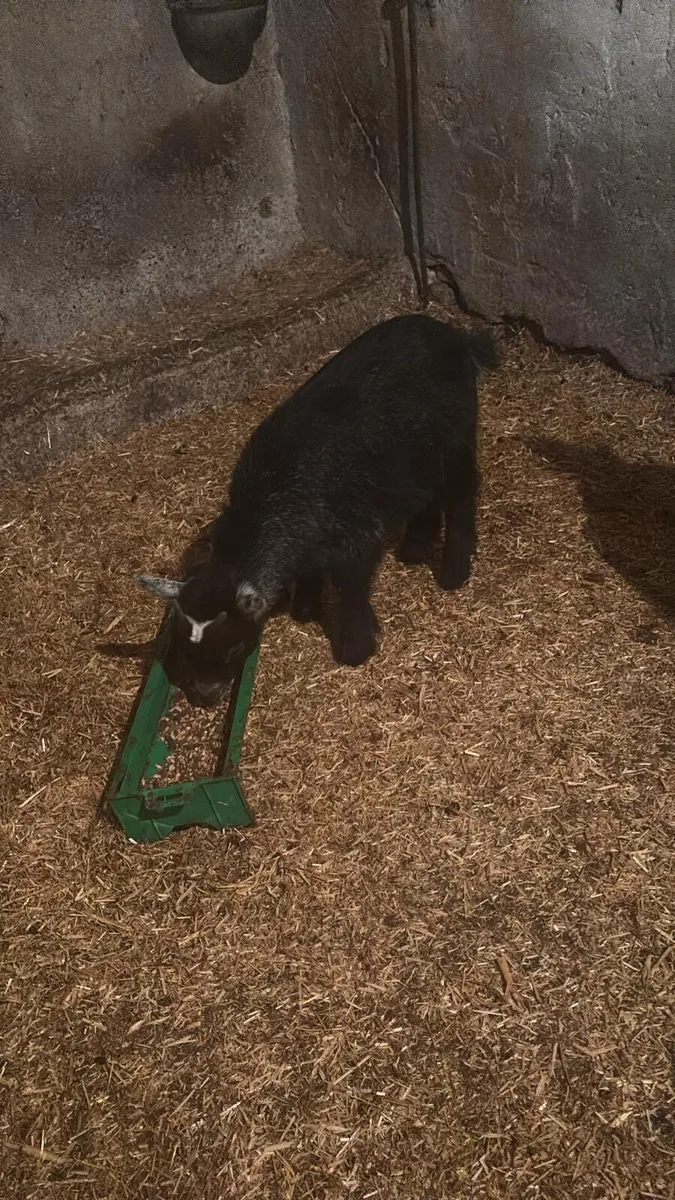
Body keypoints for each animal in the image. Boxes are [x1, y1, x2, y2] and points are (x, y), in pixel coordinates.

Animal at [136, 314, 498, 703]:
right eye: (187, 651)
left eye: (233, 647)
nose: (206, 693)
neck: (273, 495)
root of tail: (455, 335)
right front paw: (306, 608)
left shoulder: (356, 533)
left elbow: (351, 587)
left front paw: (356, 649)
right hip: (414, 454)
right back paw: (415, 547)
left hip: (456, 433)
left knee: (461, 492)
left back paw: (454, 572)